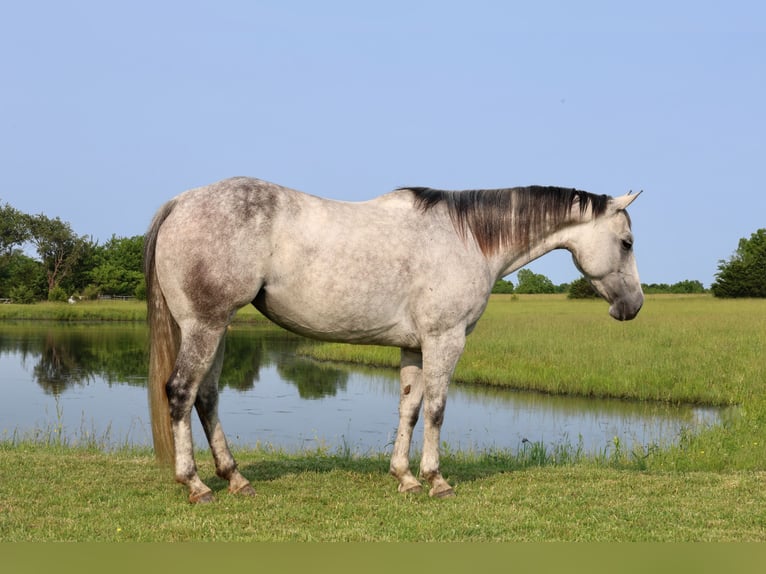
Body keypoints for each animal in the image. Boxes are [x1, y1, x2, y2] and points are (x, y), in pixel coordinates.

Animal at [144, 177, 643, 503]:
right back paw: (196, 485)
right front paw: (436, 480)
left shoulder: (414, 347)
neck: (467, 239)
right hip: (205, 326)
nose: (633, 305)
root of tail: (180, 202)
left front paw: (404, 477)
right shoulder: (445, 340)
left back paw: (235, 478)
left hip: (217, 328)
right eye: (627, 242)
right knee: (182, 392)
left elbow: (410, 408)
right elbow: (437, 409)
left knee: (207, 397)